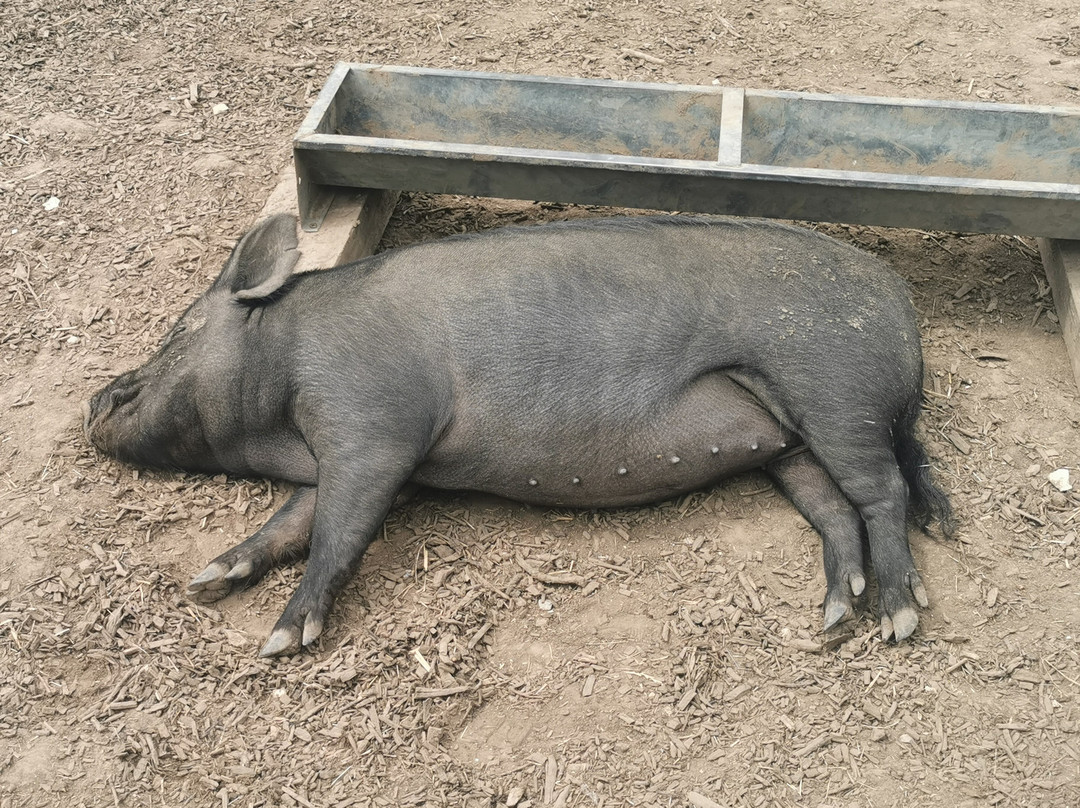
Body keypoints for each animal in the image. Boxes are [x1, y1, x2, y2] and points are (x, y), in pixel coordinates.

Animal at [84, 214, 953, 657]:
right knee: (835, 509)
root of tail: (903, 304)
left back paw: (898, 617)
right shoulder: (353, 457)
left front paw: (279, 640)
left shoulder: (375, 427)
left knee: (883, 492)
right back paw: (836, 615)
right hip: (790, 440)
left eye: (180, 329)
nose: (96, 398)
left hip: (833, 390)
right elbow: (289, 521)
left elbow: (339, 530)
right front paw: (210, 577)